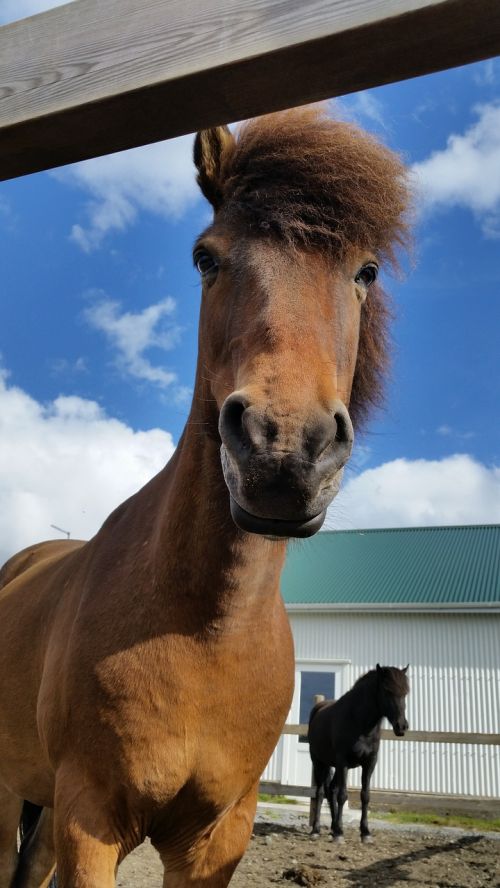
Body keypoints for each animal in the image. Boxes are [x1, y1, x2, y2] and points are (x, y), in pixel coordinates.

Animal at [308, 664, 410, 848]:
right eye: (387, 691)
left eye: (405, 692)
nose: (401, 726)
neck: (359, 722)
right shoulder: (343, 762)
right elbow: (343, 795)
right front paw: (340, 834)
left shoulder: (369, 762)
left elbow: (365, 796)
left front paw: (365, 833)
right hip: (319, 762)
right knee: (320, 793)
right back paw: (316, 830)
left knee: (331, 790)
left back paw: (333, 828)